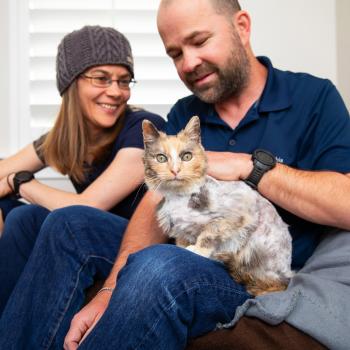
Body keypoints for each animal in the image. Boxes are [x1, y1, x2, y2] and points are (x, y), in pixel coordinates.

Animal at [142, 115, 292, 296]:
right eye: (161, 158)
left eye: (187, 156)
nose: (175, 170)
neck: (179, 198)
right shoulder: (180, 231)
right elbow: (182, 242)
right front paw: (186, 248)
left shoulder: (239, 213)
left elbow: (209, 232)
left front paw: (198, 250)